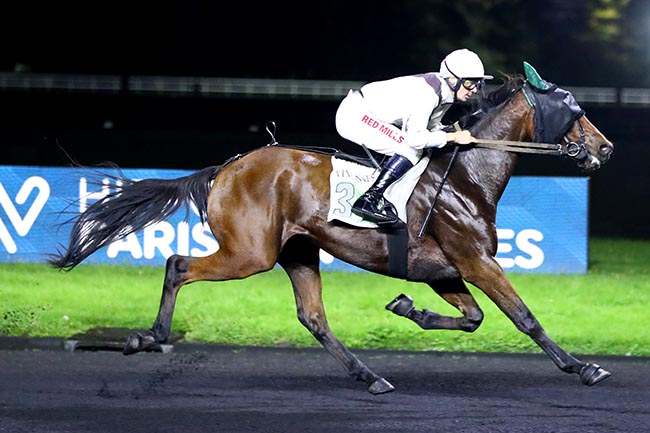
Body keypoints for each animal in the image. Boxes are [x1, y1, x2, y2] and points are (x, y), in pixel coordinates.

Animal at [49, 66, 612, 394]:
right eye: (575, 111)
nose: (604, 148)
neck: (465, 177)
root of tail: (226, 168)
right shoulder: (476, 262)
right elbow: (524, 317)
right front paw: (582, 367)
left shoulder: (444, 270)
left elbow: (472, 319)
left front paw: (405, 307)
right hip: (249, 253)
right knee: (178, 264)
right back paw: (148, 336)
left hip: (298, 251)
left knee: (313, 317)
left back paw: (371, 376)